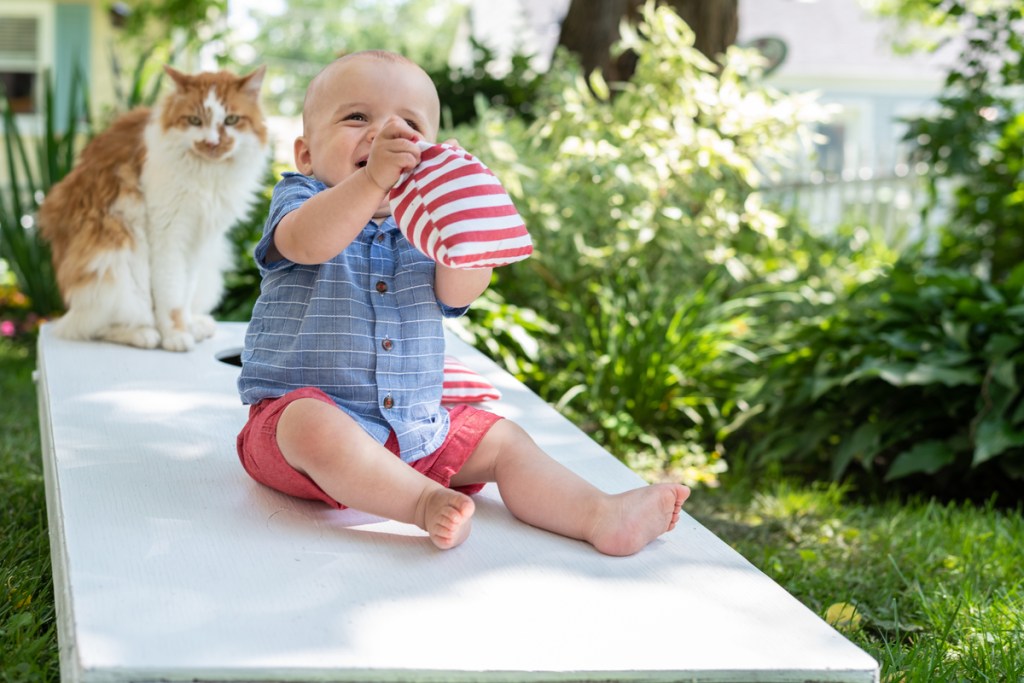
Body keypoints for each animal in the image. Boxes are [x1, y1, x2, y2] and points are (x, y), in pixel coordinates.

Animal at [41, 65, 270, 352]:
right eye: (194, 121)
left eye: (231, 120)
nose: (212, 143)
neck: (208, 177)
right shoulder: (168, 234)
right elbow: (170, 295)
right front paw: (175, 336)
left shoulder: (198, 240)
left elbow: (184, 292)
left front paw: (186, 327)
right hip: (113, 261)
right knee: (88, 326)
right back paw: (144, 333)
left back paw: (197, 324)